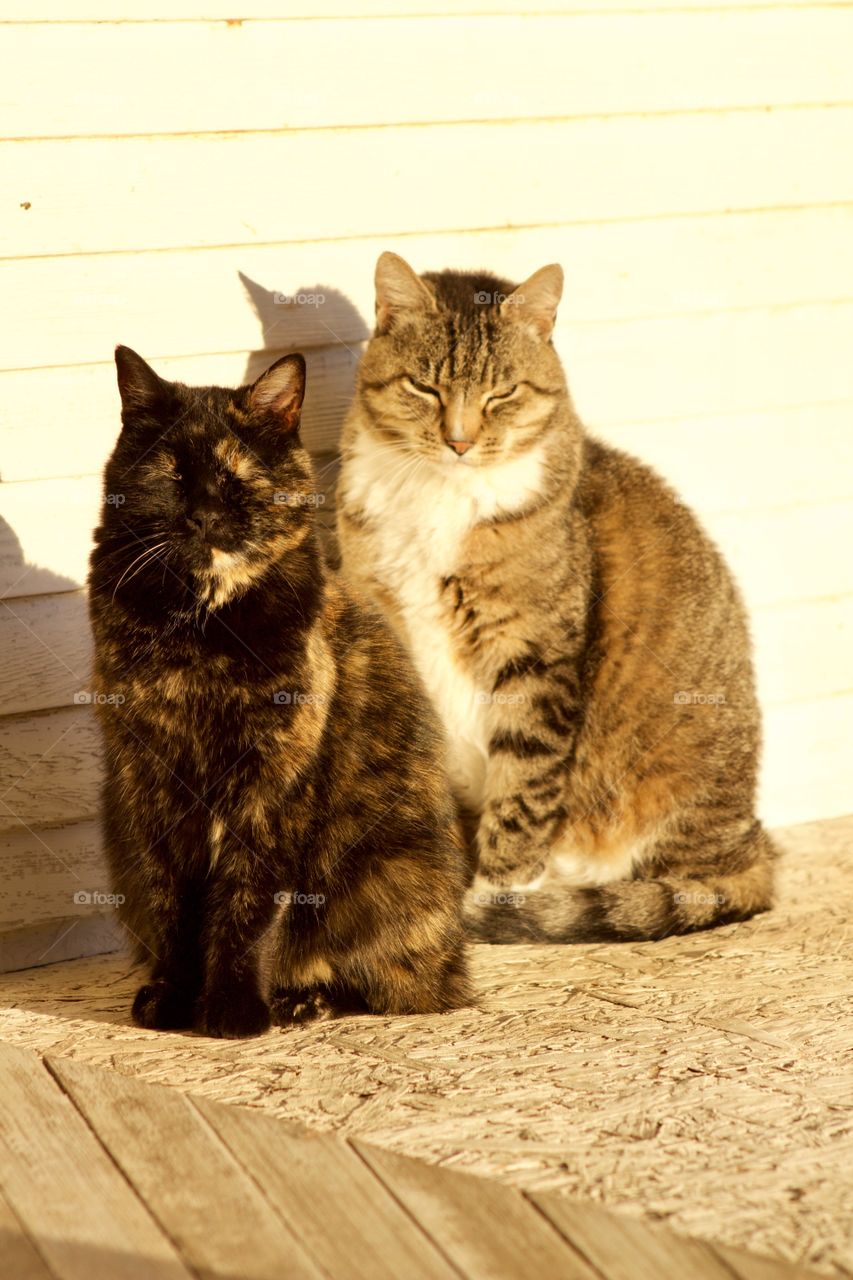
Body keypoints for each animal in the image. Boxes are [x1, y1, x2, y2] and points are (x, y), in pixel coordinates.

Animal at [89, 345, 468, 1034]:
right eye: (173, 474)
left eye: (236, 479)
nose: (203, 515)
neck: (202, 627)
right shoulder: (150, 772)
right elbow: (169, 898)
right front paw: (173, 999)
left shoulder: (272, 779)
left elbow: (247, 901)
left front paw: (233, 1011)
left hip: (388, 876)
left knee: (401, 988)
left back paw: (301, 1001)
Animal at [335, 254, 773, 947]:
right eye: (425, 388)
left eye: (502, 393)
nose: (459, 441)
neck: (441, 493)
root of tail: (757, 848)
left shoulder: (536, 665)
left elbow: (522, 794)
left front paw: (492, 900)